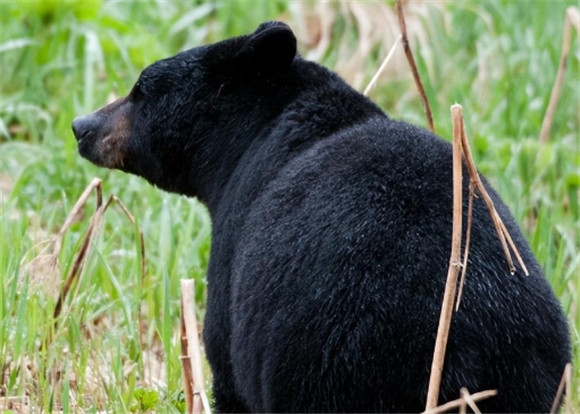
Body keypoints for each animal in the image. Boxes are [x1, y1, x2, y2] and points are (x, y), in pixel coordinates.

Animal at [72, 21, 572, 410]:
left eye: (140, 89)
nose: (81, 126)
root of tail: (467, 334)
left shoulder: (234, 260)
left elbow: (225, 364)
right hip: (534, 376)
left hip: (333, 363)